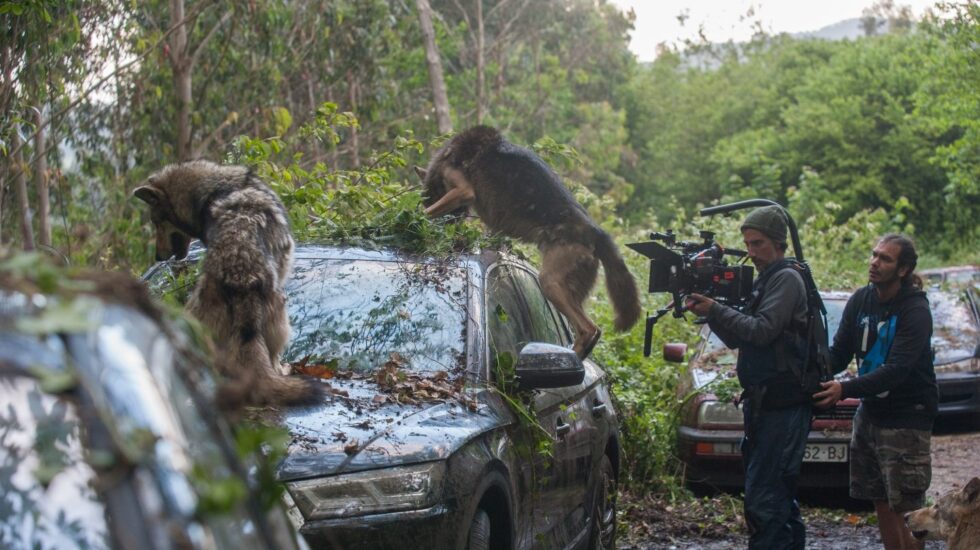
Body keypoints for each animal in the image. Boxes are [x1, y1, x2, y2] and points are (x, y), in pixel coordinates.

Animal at [133, 160, 322, 410]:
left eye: (156, 222)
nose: (157, 257)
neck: (214, 190)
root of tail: (241, 276)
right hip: (280, 316)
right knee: (271, 359)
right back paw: (280, 373)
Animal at [420, 125, 644, 360]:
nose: (445, 236)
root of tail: (596, 233)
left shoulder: (463, 191)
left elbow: (427, 211)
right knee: (595, 330)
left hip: (550, 282)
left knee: (588, 329)